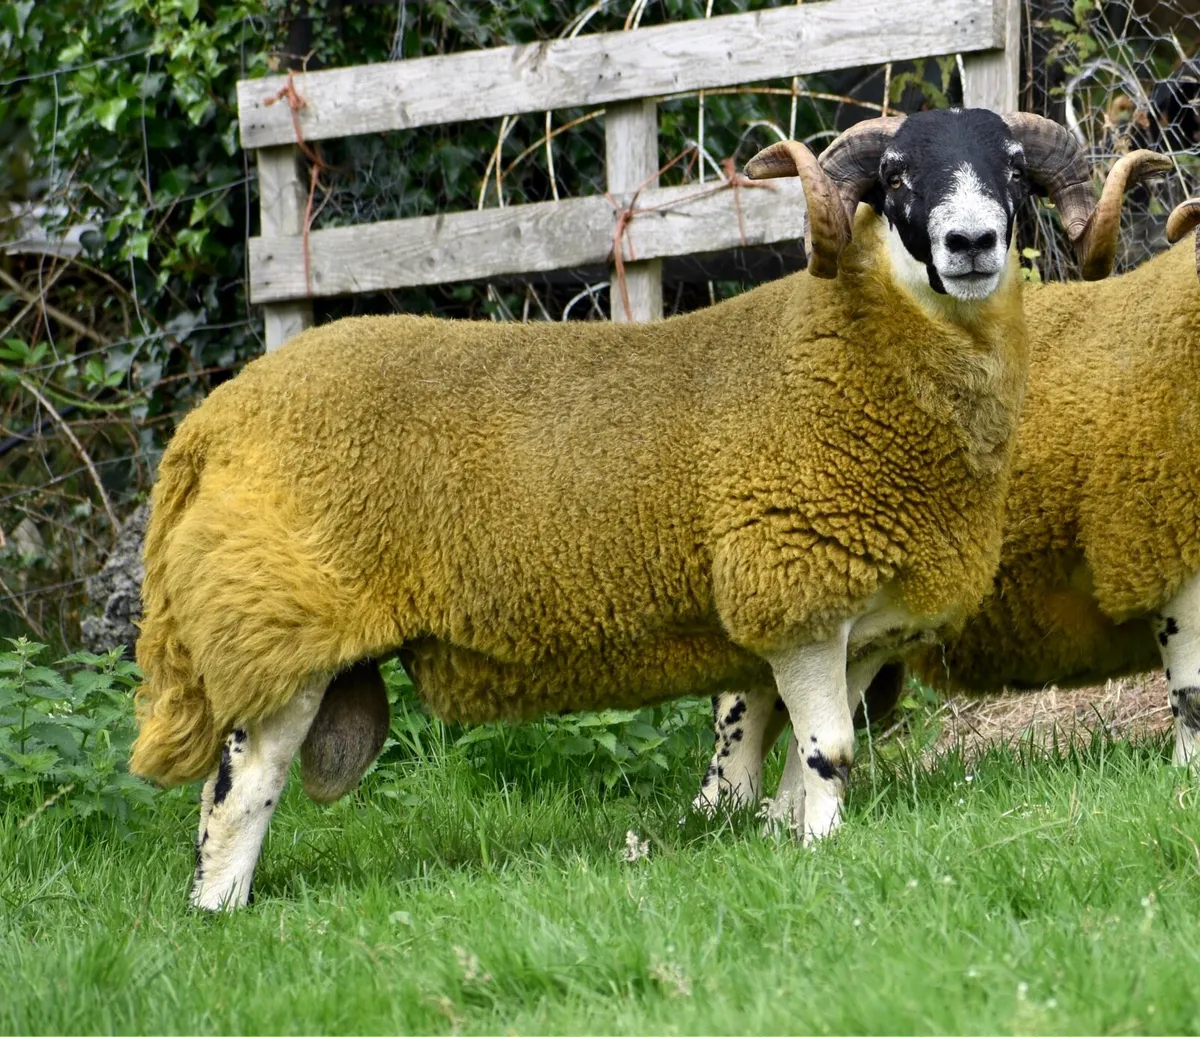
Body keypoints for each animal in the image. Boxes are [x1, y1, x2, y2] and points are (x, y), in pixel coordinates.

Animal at [130, 108, 1143, 911]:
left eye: (1010, 168)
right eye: (896, 175)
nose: (971, 243)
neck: (852, 355)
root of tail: (212, 422)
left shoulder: (865, 627)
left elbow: (801, 759)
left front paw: (788, 838)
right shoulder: (795, 598)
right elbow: (830, 751)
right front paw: (826, 848)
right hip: (281, 624)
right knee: (239, 789)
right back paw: (220, 913)